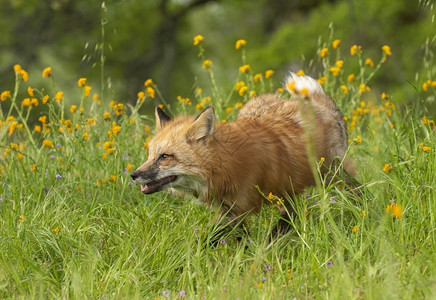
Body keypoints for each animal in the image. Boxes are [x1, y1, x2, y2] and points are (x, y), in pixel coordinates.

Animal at [129, 71, 354, 233]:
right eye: (150, 156)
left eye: (165, 157)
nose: (133, 175)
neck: (222, 165)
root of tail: (315, 99)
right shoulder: (231, 211)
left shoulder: (243, 207)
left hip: (333, 175)